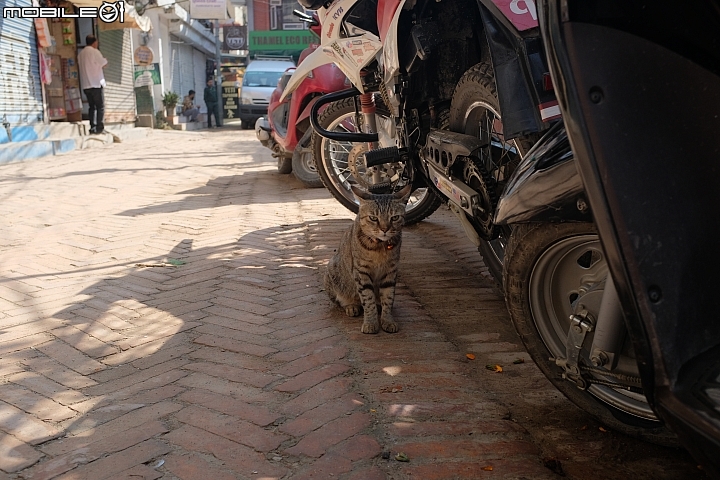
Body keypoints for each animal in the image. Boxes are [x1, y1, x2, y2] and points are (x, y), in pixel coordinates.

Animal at [324, 184, 410, 334]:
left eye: (394, 217)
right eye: (373, 218)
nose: (384, 229)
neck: (380, 248)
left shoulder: (390, 272)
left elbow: (388, 298)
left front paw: (387, 320)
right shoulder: (361, 273)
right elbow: (368, 300)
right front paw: (371, 323)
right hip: (333, 271)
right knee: (345, 301)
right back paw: (352, 306)